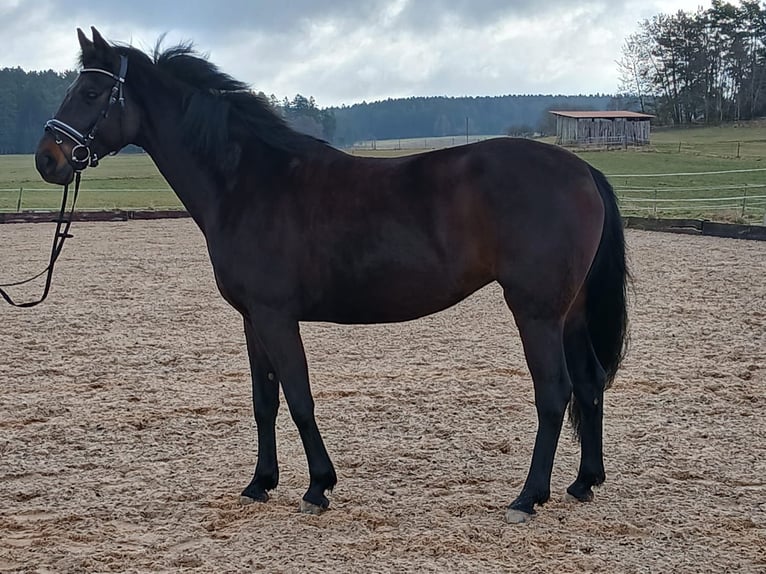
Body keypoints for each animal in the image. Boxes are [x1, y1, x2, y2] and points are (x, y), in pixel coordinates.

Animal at [35, 28, 628, 524]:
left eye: (92, 93)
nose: (47, 160)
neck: (247, 181)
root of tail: (583, 169)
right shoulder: (252, 319)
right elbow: (264, 400)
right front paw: (260, 483)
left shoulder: (276, 316)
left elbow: (299, 396)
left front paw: (318, 486)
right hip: (569, 313)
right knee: (590, 382)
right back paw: (583, 483)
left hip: (536, 312)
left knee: (554, 392)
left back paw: (528, 498)